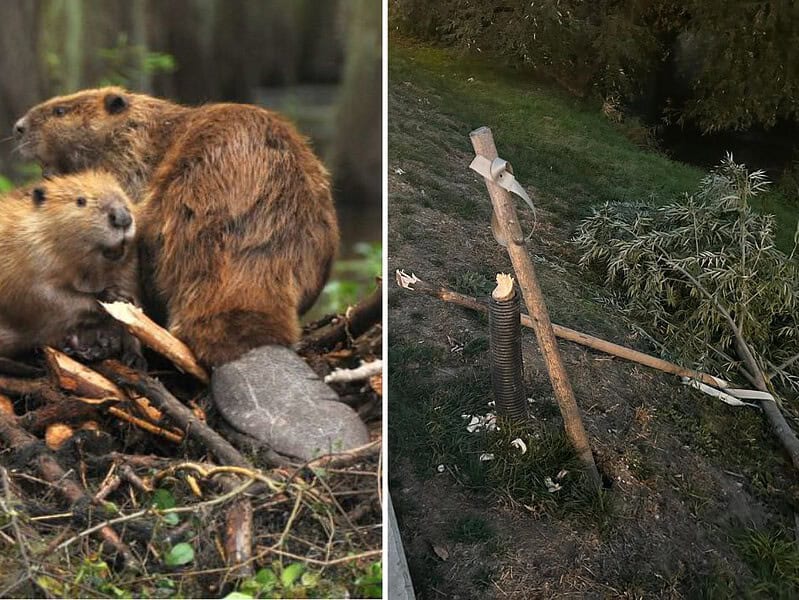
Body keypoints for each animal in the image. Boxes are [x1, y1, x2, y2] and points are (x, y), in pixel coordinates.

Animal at [0, 171, 141, 360]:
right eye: (80, 201)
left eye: (123, 194)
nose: (122, 218)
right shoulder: (29, 257)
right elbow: (42, 296)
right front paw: (111, 296)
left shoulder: (128, 266)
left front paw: (134, 357)